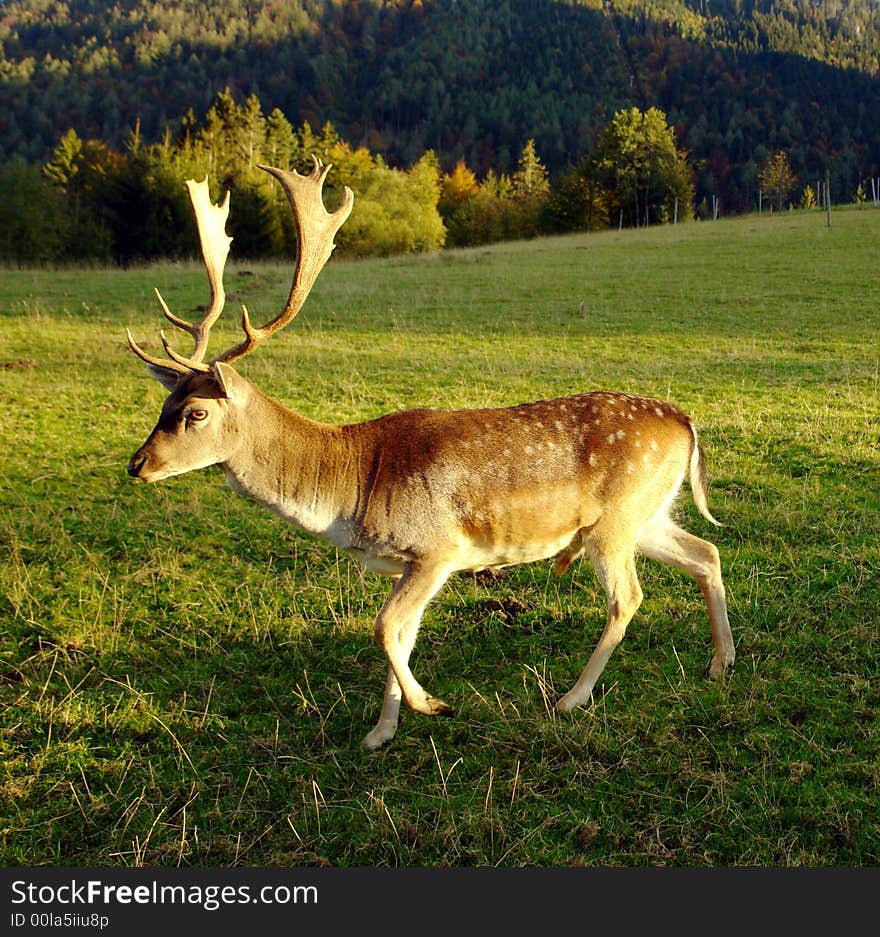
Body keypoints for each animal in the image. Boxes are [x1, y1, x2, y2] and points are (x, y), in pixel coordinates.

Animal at [125, 157, 736, 748]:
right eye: (165, 401)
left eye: (195, 413)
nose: (137, 464)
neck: (353, 492)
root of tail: (686, 422)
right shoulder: (409, 563)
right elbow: (402, 634)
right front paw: (381, 732)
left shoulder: (437, 549)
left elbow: (382, 627)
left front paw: (430, 705)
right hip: (646, 514)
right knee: (706, 552)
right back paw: (720, 663)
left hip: (615, 520)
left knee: (628, 598)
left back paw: (572, 698)